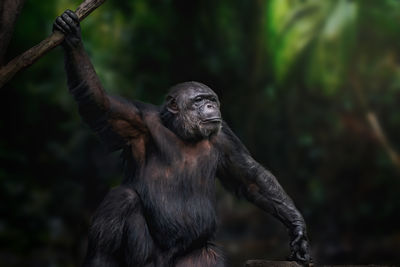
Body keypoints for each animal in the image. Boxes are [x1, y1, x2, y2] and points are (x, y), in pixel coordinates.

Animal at [53, 8, 310, 267]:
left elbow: (250, 177)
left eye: (211, 99)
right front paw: (73, 38)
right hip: (141, 258)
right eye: (198, 100)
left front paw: (297, 230)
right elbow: (101, 104)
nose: (210, 106)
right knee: (122, 198)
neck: (182, 132)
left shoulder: (224, 136)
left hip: (193, 256)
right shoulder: (133, 120)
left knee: (209, 256)